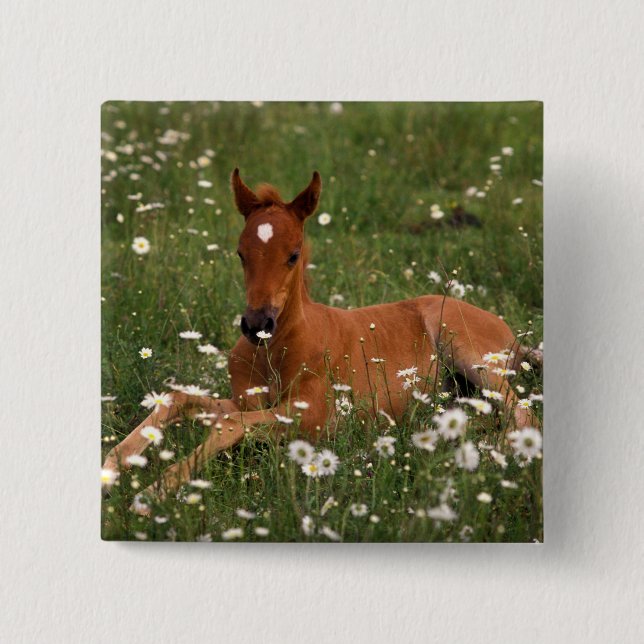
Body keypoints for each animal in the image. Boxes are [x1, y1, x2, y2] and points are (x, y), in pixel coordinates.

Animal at [102, 169, 539, 501]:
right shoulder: (245, 400)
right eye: (240, 253)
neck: (276, 351)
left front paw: (154, 490)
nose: (256, 324)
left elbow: (228, 425)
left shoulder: (314, 417)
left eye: (293, 254)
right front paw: (115, 463)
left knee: (523, 412)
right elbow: (181, 401)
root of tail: (514, 336)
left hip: (468, 350)